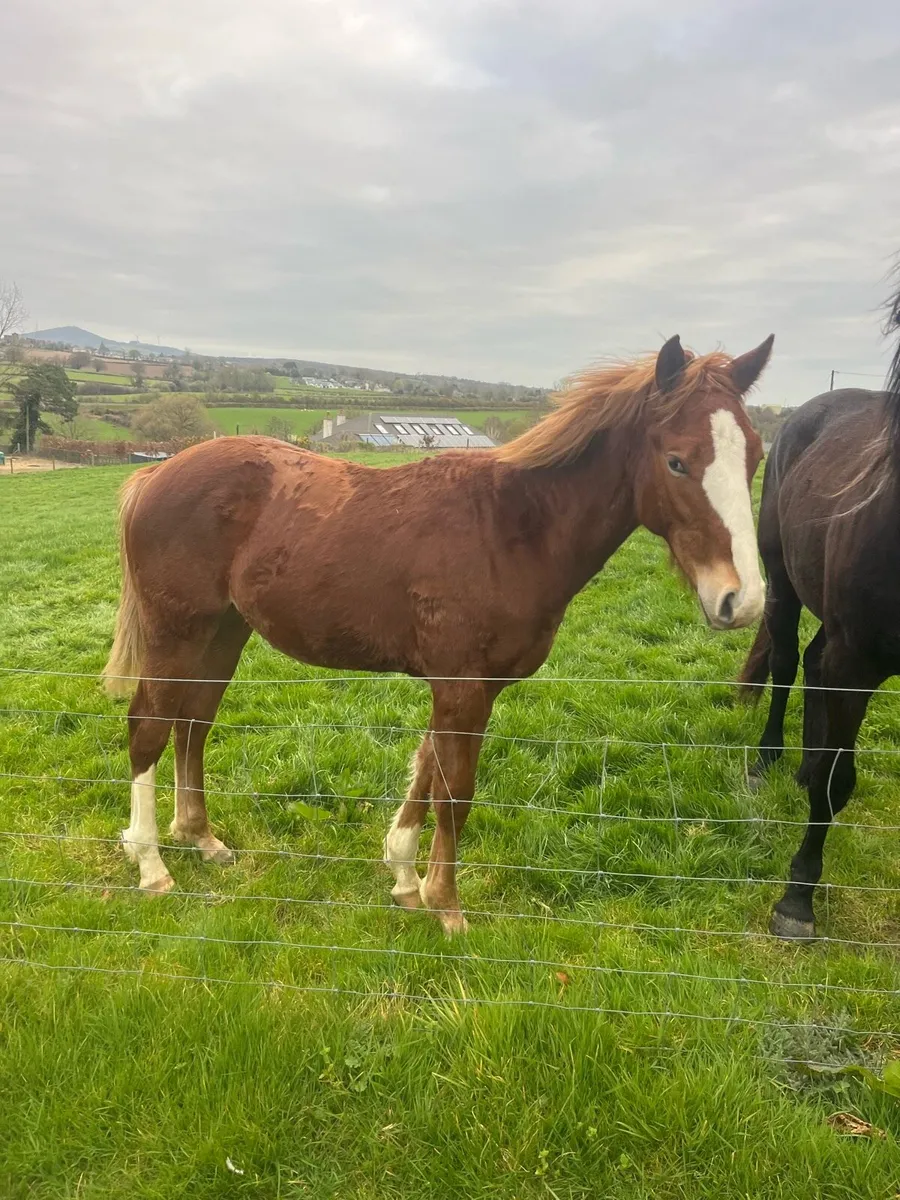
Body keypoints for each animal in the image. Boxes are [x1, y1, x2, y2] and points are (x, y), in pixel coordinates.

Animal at [104, 332, 773, 934]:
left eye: (755, 456)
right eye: (677, 460)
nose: (741, 600)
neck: (511, 527)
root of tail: (154, 477)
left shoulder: (470, 688)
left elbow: (426, 771)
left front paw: (404, 877)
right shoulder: (461, 686)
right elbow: (456, 790)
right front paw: (446, 905)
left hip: (223, 632)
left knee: (193, 722)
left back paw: (200, 837)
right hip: (177, 631)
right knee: (149, 725)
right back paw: (151, 865)